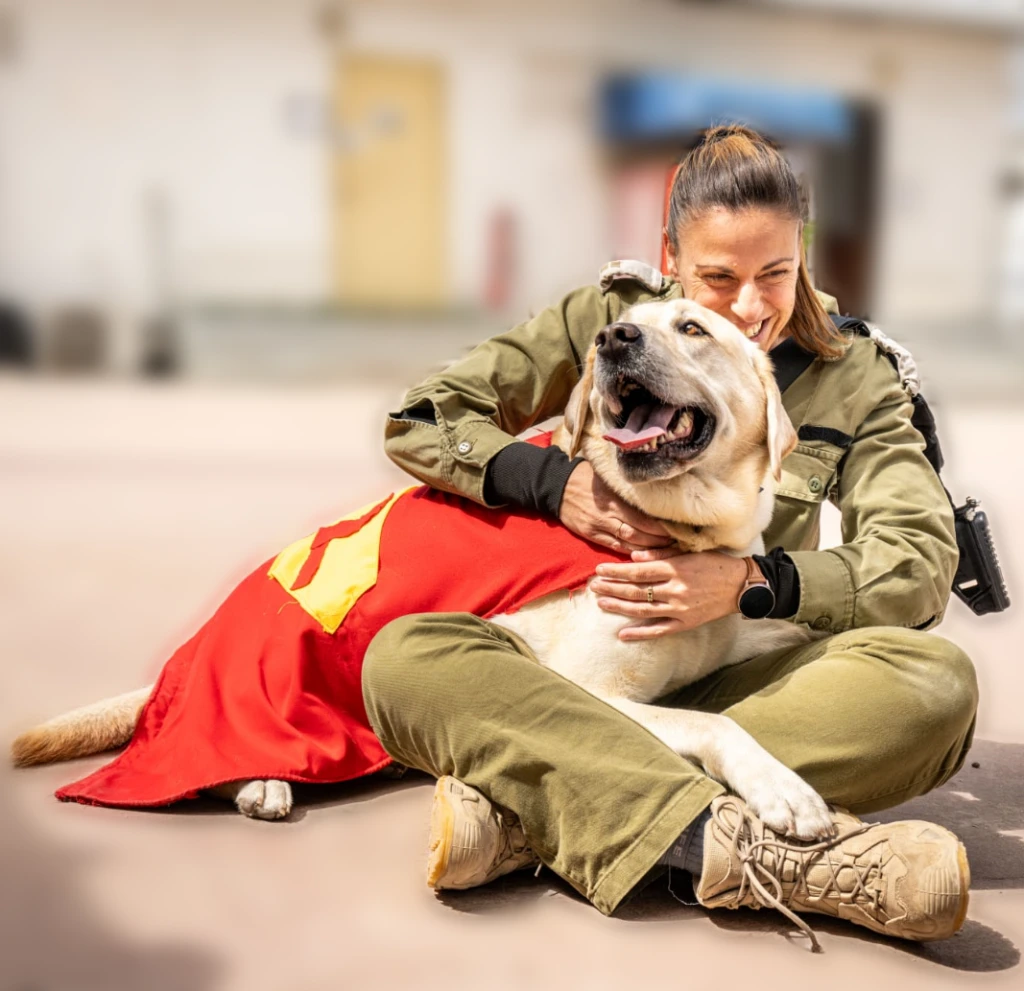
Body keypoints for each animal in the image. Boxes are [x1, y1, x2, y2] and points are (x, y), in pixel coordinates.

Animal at [9, 298, 831, 839]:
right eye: (629, 322)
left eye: (693, 328)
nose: (611, 337)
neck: (679, 530)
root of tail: (179, 667)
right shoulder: (593, 688)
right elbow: (711, 719)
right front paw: (784, 789)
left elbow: (787, 629)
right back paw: (261, 778)